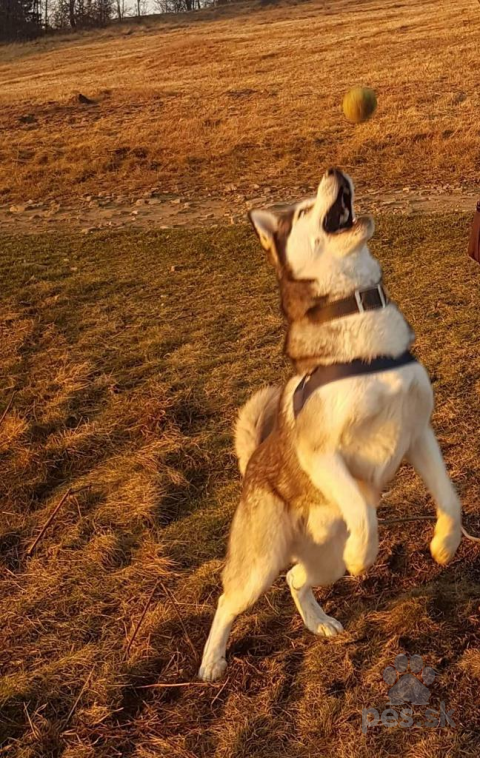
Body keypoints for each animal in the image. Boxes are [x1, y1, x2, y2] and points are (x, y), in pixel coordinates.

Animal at [198, 171, 462, 684]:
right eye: (301, 210)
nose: (336, 172)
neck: (358, 315)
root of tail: (250, 467)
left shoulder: (419, 433)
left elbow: (450, 498)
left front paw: (445, 542)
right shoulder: (320, 453)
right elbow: (361, 507)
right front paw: (366, 552)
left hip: (323, 563)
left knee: (296, 578)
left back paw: (318, 621)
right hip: (259, 564)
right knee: (228, 598)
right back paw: (212, 660)